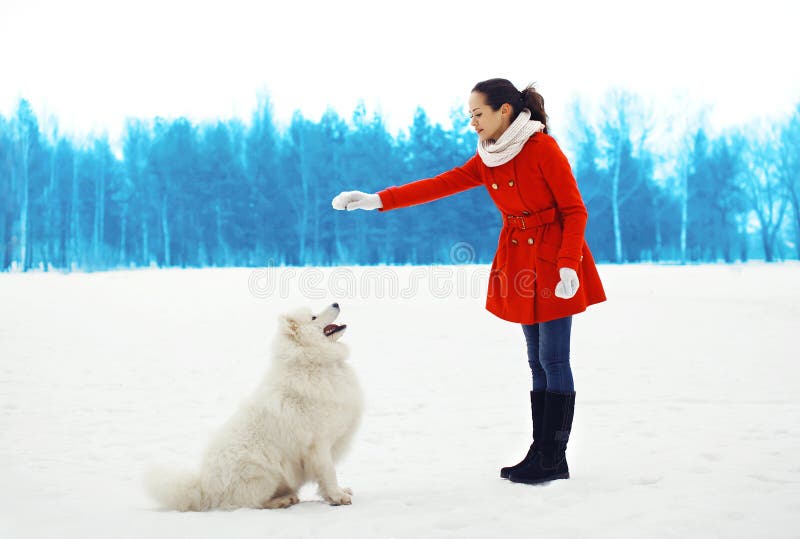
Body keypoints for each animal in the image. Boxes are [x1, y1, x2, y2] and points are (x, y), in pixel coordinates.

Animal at [145, 304, 364, 510]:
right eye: (313, 317)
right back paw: (282, 500)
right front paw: (338, 497)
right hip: (265, 473)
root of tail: (205, 487)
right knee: (253, 503)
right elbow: (329, 473)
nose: (336, 303)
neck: (312, 362)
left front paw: (337, 493)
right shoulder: (318, 444)